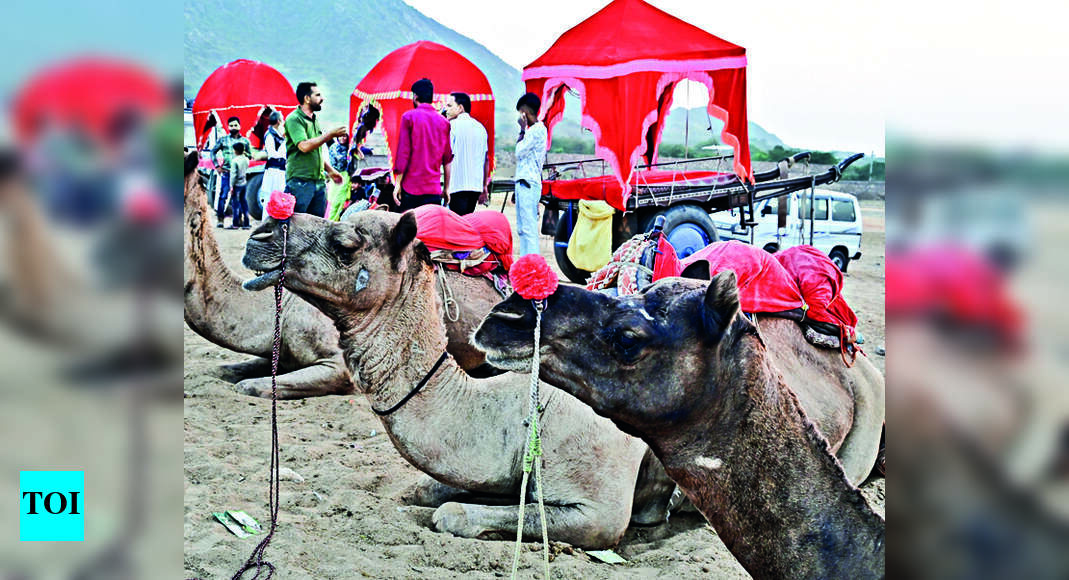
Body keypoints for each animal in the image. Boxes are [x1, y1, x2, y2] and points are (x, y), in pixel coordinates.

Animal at [241, 210, 680, 548]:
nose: (259, 235)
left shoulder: (599, 512)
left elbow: (452, 515)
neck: (520, 412)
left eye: (346, 245)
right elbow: (425, 488)